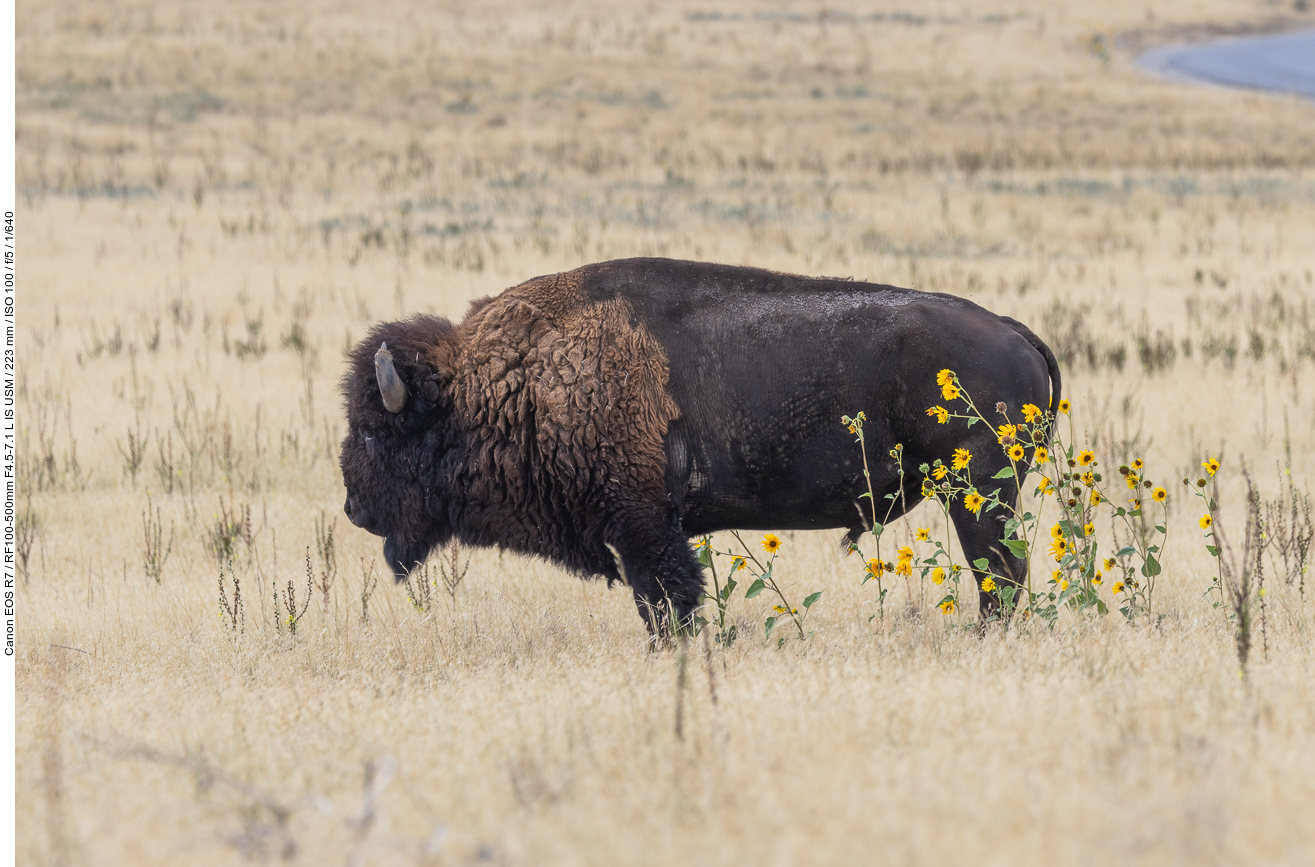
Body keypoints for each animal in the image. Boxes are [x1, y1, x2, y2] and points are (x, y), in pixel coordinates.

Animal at [339, 261, 1057, 634]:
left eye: (377, 431)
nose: (352, 507)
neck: (514, 379)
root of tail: (1010, 330)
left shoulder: (644, 527)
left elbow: (668, 603)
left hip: (979, 492)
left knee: (999, 572)